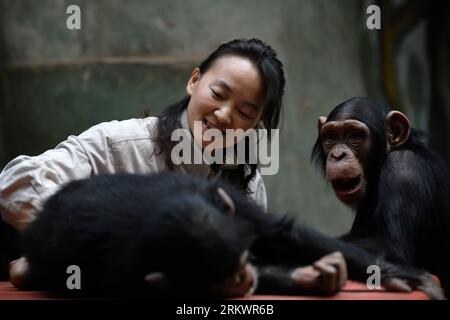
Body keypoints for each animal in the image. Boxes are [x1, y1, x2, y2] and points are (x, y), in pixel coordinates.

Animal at [13, 171, 442, 298]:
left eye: (241, 260)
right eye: (224, 275)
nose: (243, 274)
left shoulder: (223, 199)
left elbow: (283, 233)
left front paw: (399, 276)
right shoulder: (125, 273)